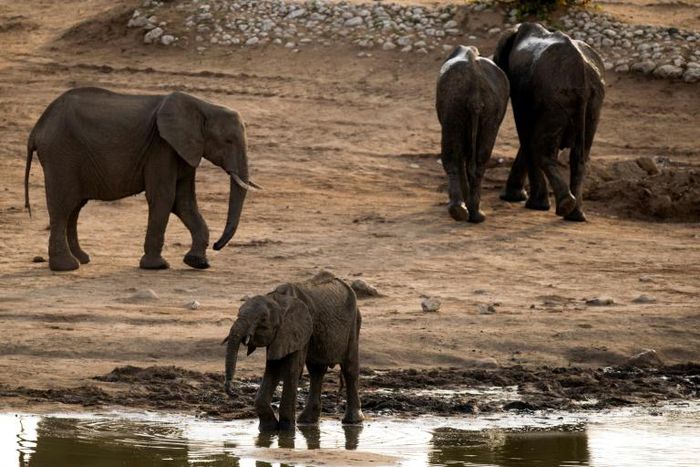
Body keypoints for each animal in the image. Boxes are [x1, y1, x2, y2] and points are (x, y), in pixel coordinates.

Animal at [24, 87, 259, 271]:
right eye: (228, 141)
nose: (217, 246)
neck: (204, 105)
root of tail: (37, 128)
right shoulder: (161, 147)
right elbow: (165, 197)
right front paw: (158, 266)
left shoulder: (184, 149)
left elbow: (184, 202)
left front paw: (197, 262)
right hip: (60, 155)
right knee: (62, 206)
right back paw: (66, 267)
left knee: (74, 208)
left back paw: (82, 259)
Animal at [223, 271, 363, 431]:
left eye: (262, 320)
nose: (231, 391)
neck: (277, 299)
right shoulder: (281, 334)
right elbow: (273, 368)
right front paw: (268, 429)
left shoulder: (299, 328)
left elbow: (290, 369)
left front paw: (287, 430)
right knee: (316, 370)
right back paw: (306, 421)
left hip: (353, 323)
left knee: (349, 367)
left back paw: (353, 421)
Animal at [436, 45, 509, 223]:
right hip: (472, 104)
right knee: (479, 157)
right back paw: (472, 215)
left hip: (456, 102)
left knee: (456, 156)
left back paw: (463, 213)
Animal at [494, 23, 605, 221]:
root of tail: (581, 75)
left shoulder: (522, 88)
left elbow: (525, 131)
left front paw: (527, 203)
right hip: (592, 103)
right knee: (580, 155)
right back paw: (575, 215)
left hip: (556, 99)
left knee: (538, 147)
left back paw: (565, 206)